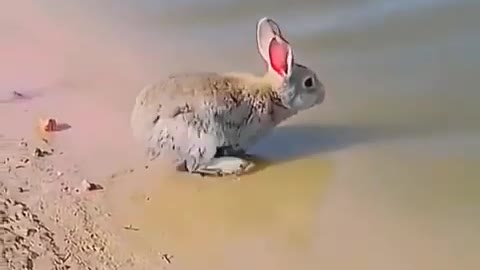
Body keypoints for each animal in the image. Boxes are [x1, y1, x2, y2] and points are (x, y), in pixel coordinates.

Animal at [130, 17, 326, 177]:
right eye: (309, 82)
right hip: (201, 138)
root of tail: (145, 136)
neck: (272, 95)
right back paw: (236, 165)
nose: (323, 94)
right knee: (195, 165)